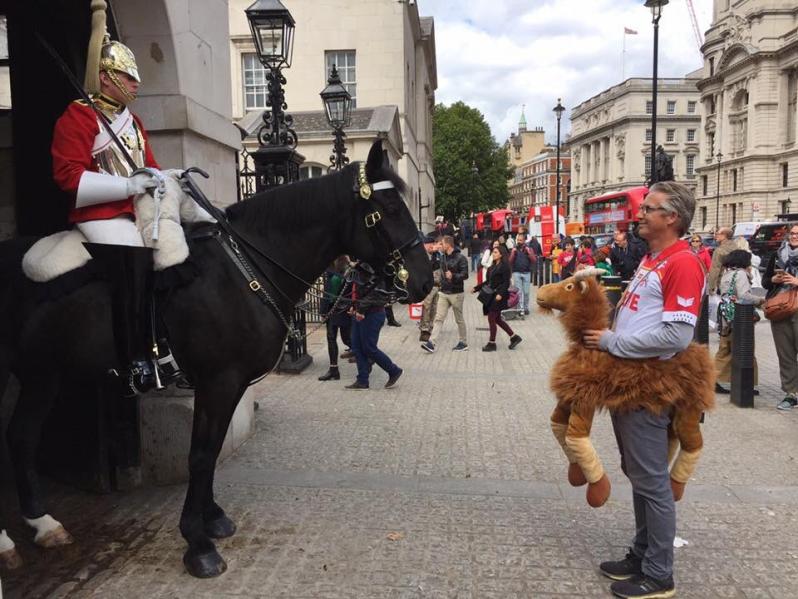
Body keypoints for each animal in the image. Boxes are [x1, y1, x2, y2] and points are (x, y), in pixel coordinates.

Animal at [0, 139, 434, 576]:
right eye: (390, 209)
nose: (425, 281)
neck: (242, 270)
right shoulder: (217, 381)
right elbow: (200, 454)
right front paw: (197, 543)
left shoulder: (231, 383)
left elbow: (211, 450)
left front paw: (212, 519)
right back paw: (8, 543)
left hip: (43, 374)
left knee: (21, 436)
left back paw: (43, 524)